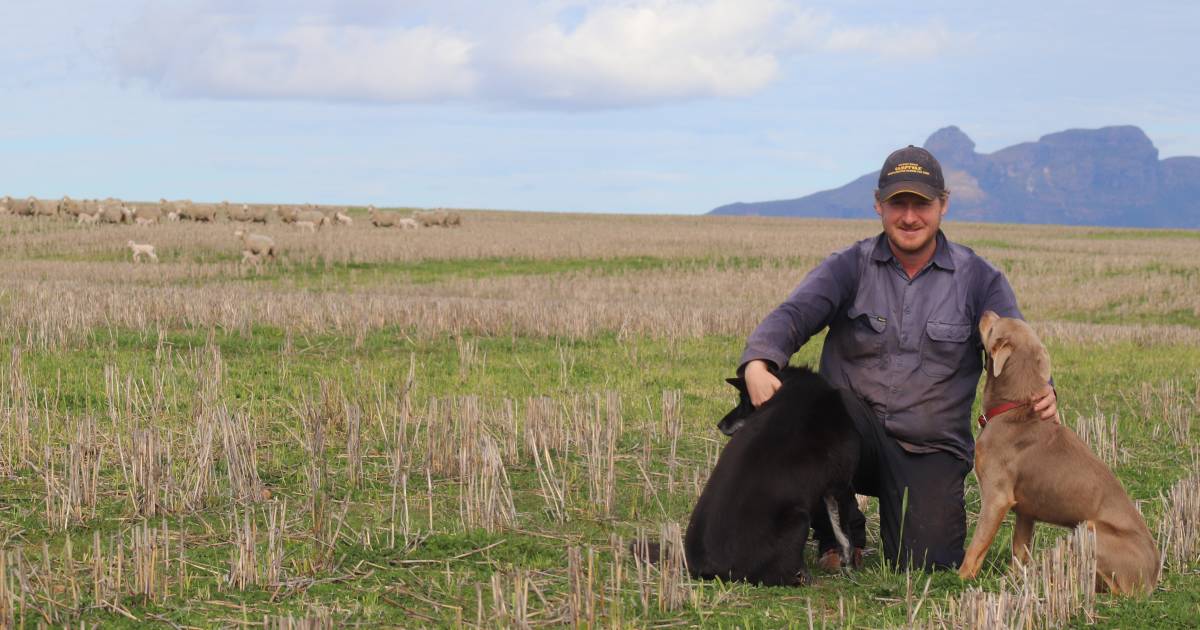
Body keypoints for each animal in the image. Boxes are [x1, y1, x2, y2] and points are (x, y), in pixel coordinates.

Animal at [686, 362, 864, 585]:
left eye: (744, 401)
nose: (720, 424)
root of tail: (708, 569)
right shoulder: (840, 485)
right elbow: (844, 535)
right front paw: (850, 568)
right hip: (799, 519)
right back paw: (803, 578)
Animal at [960, 309, 1156, 595]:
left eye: (994, 326)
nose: (985, 311)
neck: (1014, 408)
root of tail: (1153, 576)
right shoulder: (1025, 512)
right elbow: (1019, 551)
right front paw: (1016, 581)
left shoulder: (997, 498)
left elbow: (976, 546)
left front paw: (961, 578)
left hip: (1088, 530)